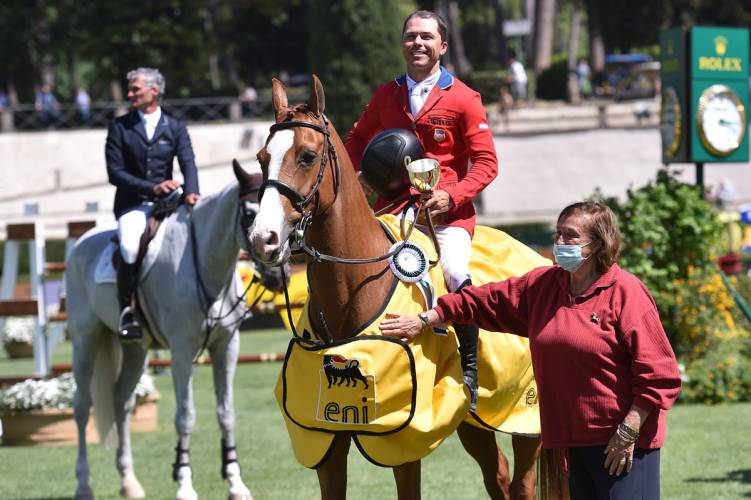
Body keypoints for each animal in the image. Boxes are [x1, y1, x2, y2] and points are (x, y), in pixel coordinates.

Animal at [67, 164, 268, 500]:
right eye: (250, 213)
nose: (279, 272)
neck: (204, 264)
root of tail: (81, 243)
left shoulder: (227, 346)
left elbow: (226, 413)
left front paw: (235, 483)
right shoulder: (182, 352)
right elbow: (185, 417)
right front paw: (184, 483)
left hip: (135, 351)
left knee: (122, 401)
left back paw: (129, 482)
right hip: (85, 340)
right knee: (82, 407)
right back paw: (83, 485)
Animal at [248, 76, 560, 498]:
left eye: (308, 157)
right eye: (262, 158)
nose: (262, 239)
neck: (353, 289)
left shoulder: (402, 441)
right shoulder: (325, 442)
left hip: (525, 418)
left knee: (523, 481)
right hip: (473, 424)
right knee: (497, 474)